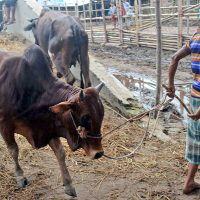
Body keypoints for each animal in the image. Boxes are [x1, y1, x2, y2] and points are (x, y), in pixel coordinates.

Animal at [0, 44, 105, 197]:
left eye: (102, 114)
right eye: (85, 117)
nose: (98, 153)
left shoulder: (49, 126)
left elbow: (60, 153)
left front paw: (68, 185)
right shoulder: (5, 125)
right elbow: (14, 150)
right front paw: (20, 177)